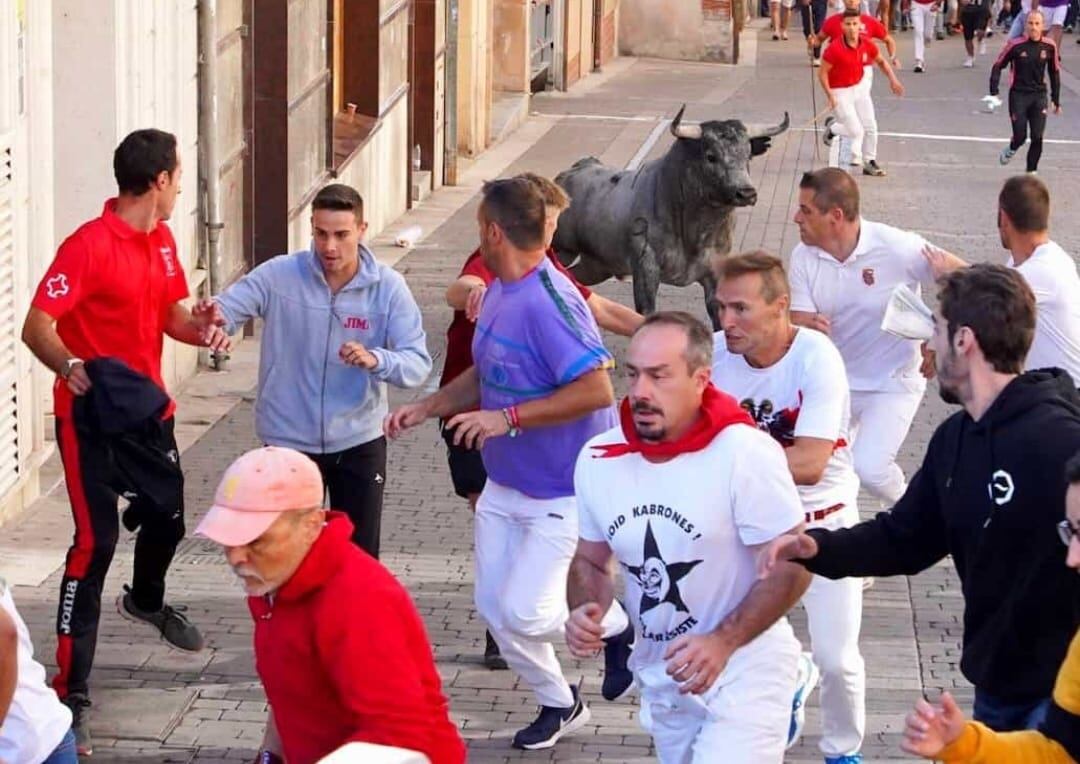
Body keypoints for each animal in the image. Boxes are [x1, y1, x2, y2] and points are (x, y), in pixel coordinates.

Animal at [552, 105, 790, 328]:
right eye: (710, 156)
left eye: (748, 155)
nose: (746, 193)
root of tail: (572, 171)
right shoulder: (646, 269)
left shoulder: (714, 274)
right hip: (562, 250)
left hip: (598, 265)